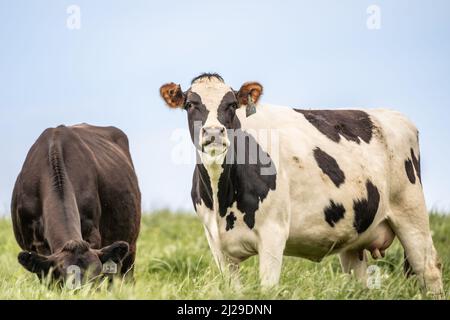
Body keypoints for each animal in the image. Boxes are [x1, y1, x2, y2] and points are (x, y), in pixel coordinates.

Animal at [159, 72, 442, 296]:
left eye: (231, 104)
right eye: (190, 104)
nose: (213, 133)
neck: (222, 198)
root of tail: (388, 114)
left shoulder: (273, 234)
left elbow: (268, 289)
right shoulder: (217, 244)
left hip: (411, 212)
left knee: (429, 270)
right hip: (355, 237)